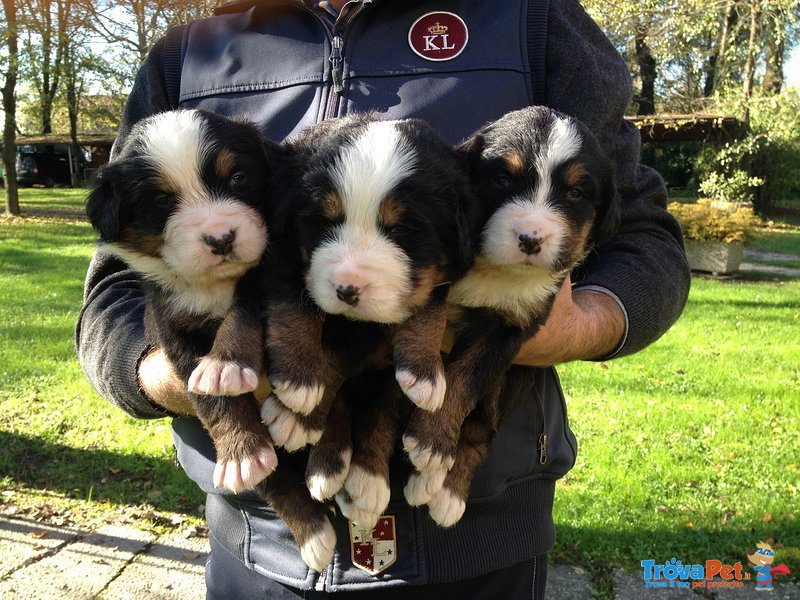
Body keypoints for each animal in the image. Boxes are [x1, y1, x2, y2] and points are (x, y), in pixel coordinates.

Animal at [85, 110, 282, 494]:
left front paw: (225, 364)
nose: (221, 239)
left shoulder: (266, 273)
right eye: (162, 201)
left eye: (238, 178)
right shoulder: (172, 329)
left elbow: (243, 312)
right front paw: (243, 455)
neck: (210, 285)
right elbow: (212, 399)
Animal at [404, 105, 620, 528]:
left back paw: (444, 489)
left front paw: (432, 442)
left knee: (481, 430)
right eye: (502, 180)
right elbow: (429, 318)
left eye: (575, 193)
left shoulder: (510, 331)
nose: (531, 239)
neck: (498, 273)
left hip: (513, 381)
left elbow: (462, 383)